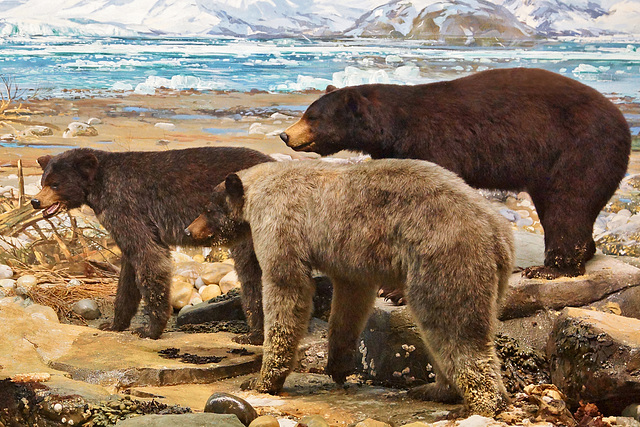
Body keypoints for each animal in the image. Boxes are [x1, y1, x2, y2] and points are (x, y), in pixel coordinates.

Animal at [31, 147, 272, 342]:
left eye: (55, 184)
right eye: (43, 182)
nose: (35, 201)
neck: (99, 186)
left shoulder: (127, 206)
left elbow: (149, 256)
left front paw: (149, 329)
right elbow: (128, 272)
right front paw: (114, 324)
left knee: (251, 273)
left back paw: (254, 334)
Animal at [186, 159, 516, 416]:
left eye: (209, 208)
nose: (189, 230)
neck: (259, 190)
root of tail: (496, 230)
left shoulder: (280, 223)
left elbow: (286, 287)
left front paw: (261, 380)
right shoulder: (350, 254)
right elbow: (350, 299)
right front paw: (338, 365)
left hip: (444, 257)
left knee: (453, 326)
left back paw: (479, 402)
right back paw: (435, 389)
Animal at [280, 67, 632, 280]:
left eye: (312, 117)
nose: (285, 135)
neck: (396, 125)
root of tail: (622, 121)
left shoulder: (436, 143)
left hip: (581, 149)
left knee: (569, 204)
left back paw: (552, 269)